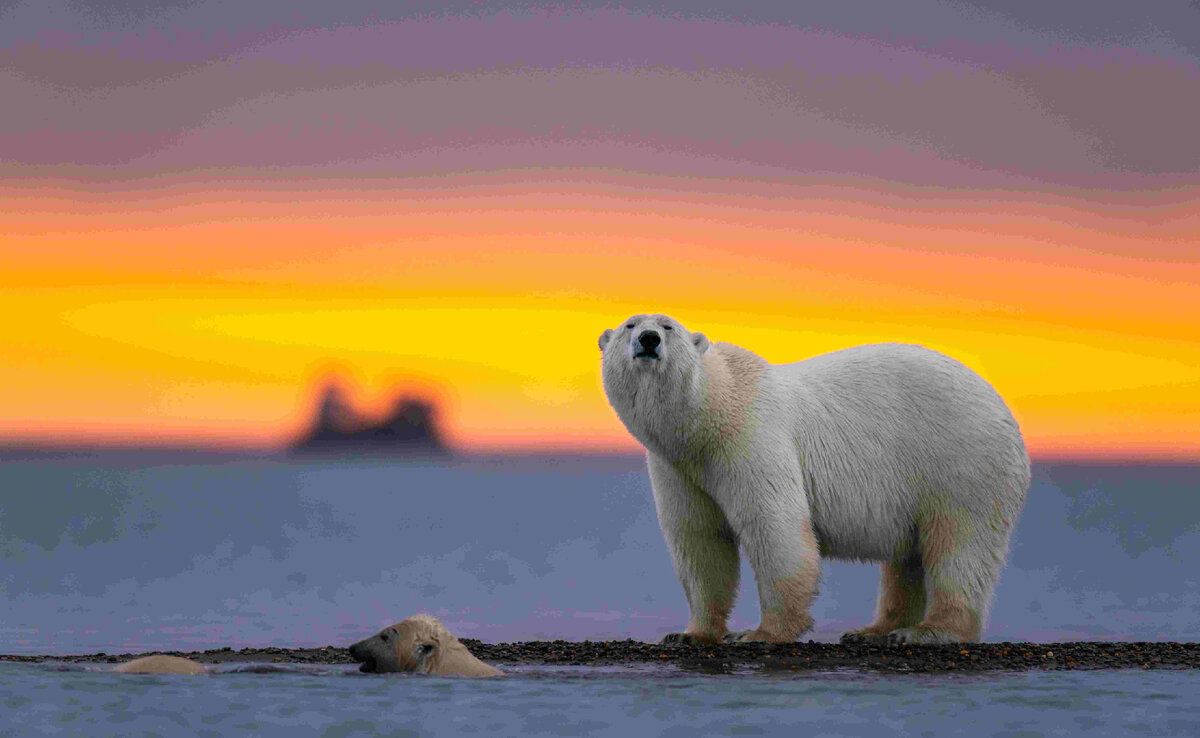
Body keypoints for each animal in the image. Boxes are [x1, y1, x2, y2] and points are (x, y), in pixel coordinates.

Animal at [600, 314, 1032, 643]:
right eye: (629, 324)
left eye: (668, 326)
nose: (649, 339)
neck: (709, 416)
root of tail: (1004, 408)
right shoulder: (678, 467)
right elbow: (699, 540)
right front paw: (691, 633)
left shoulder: (752, 439)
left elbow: (775, 528)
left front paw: (760, 633)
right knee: (907, 559)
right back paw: (875, 630)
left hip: (962, 462)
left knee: (960, 544)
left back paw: (928, 631)